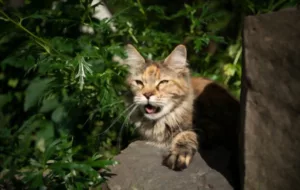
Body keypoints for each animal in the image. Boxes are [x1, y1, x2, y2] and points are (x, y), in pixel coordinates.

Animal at [116, 43, 239, 173]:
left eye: (163, 82)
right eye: (139, 82)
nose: (147, 95)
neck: (159, 123)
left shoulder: (212, 129)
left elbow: (186, 134)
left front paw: (178, 155)